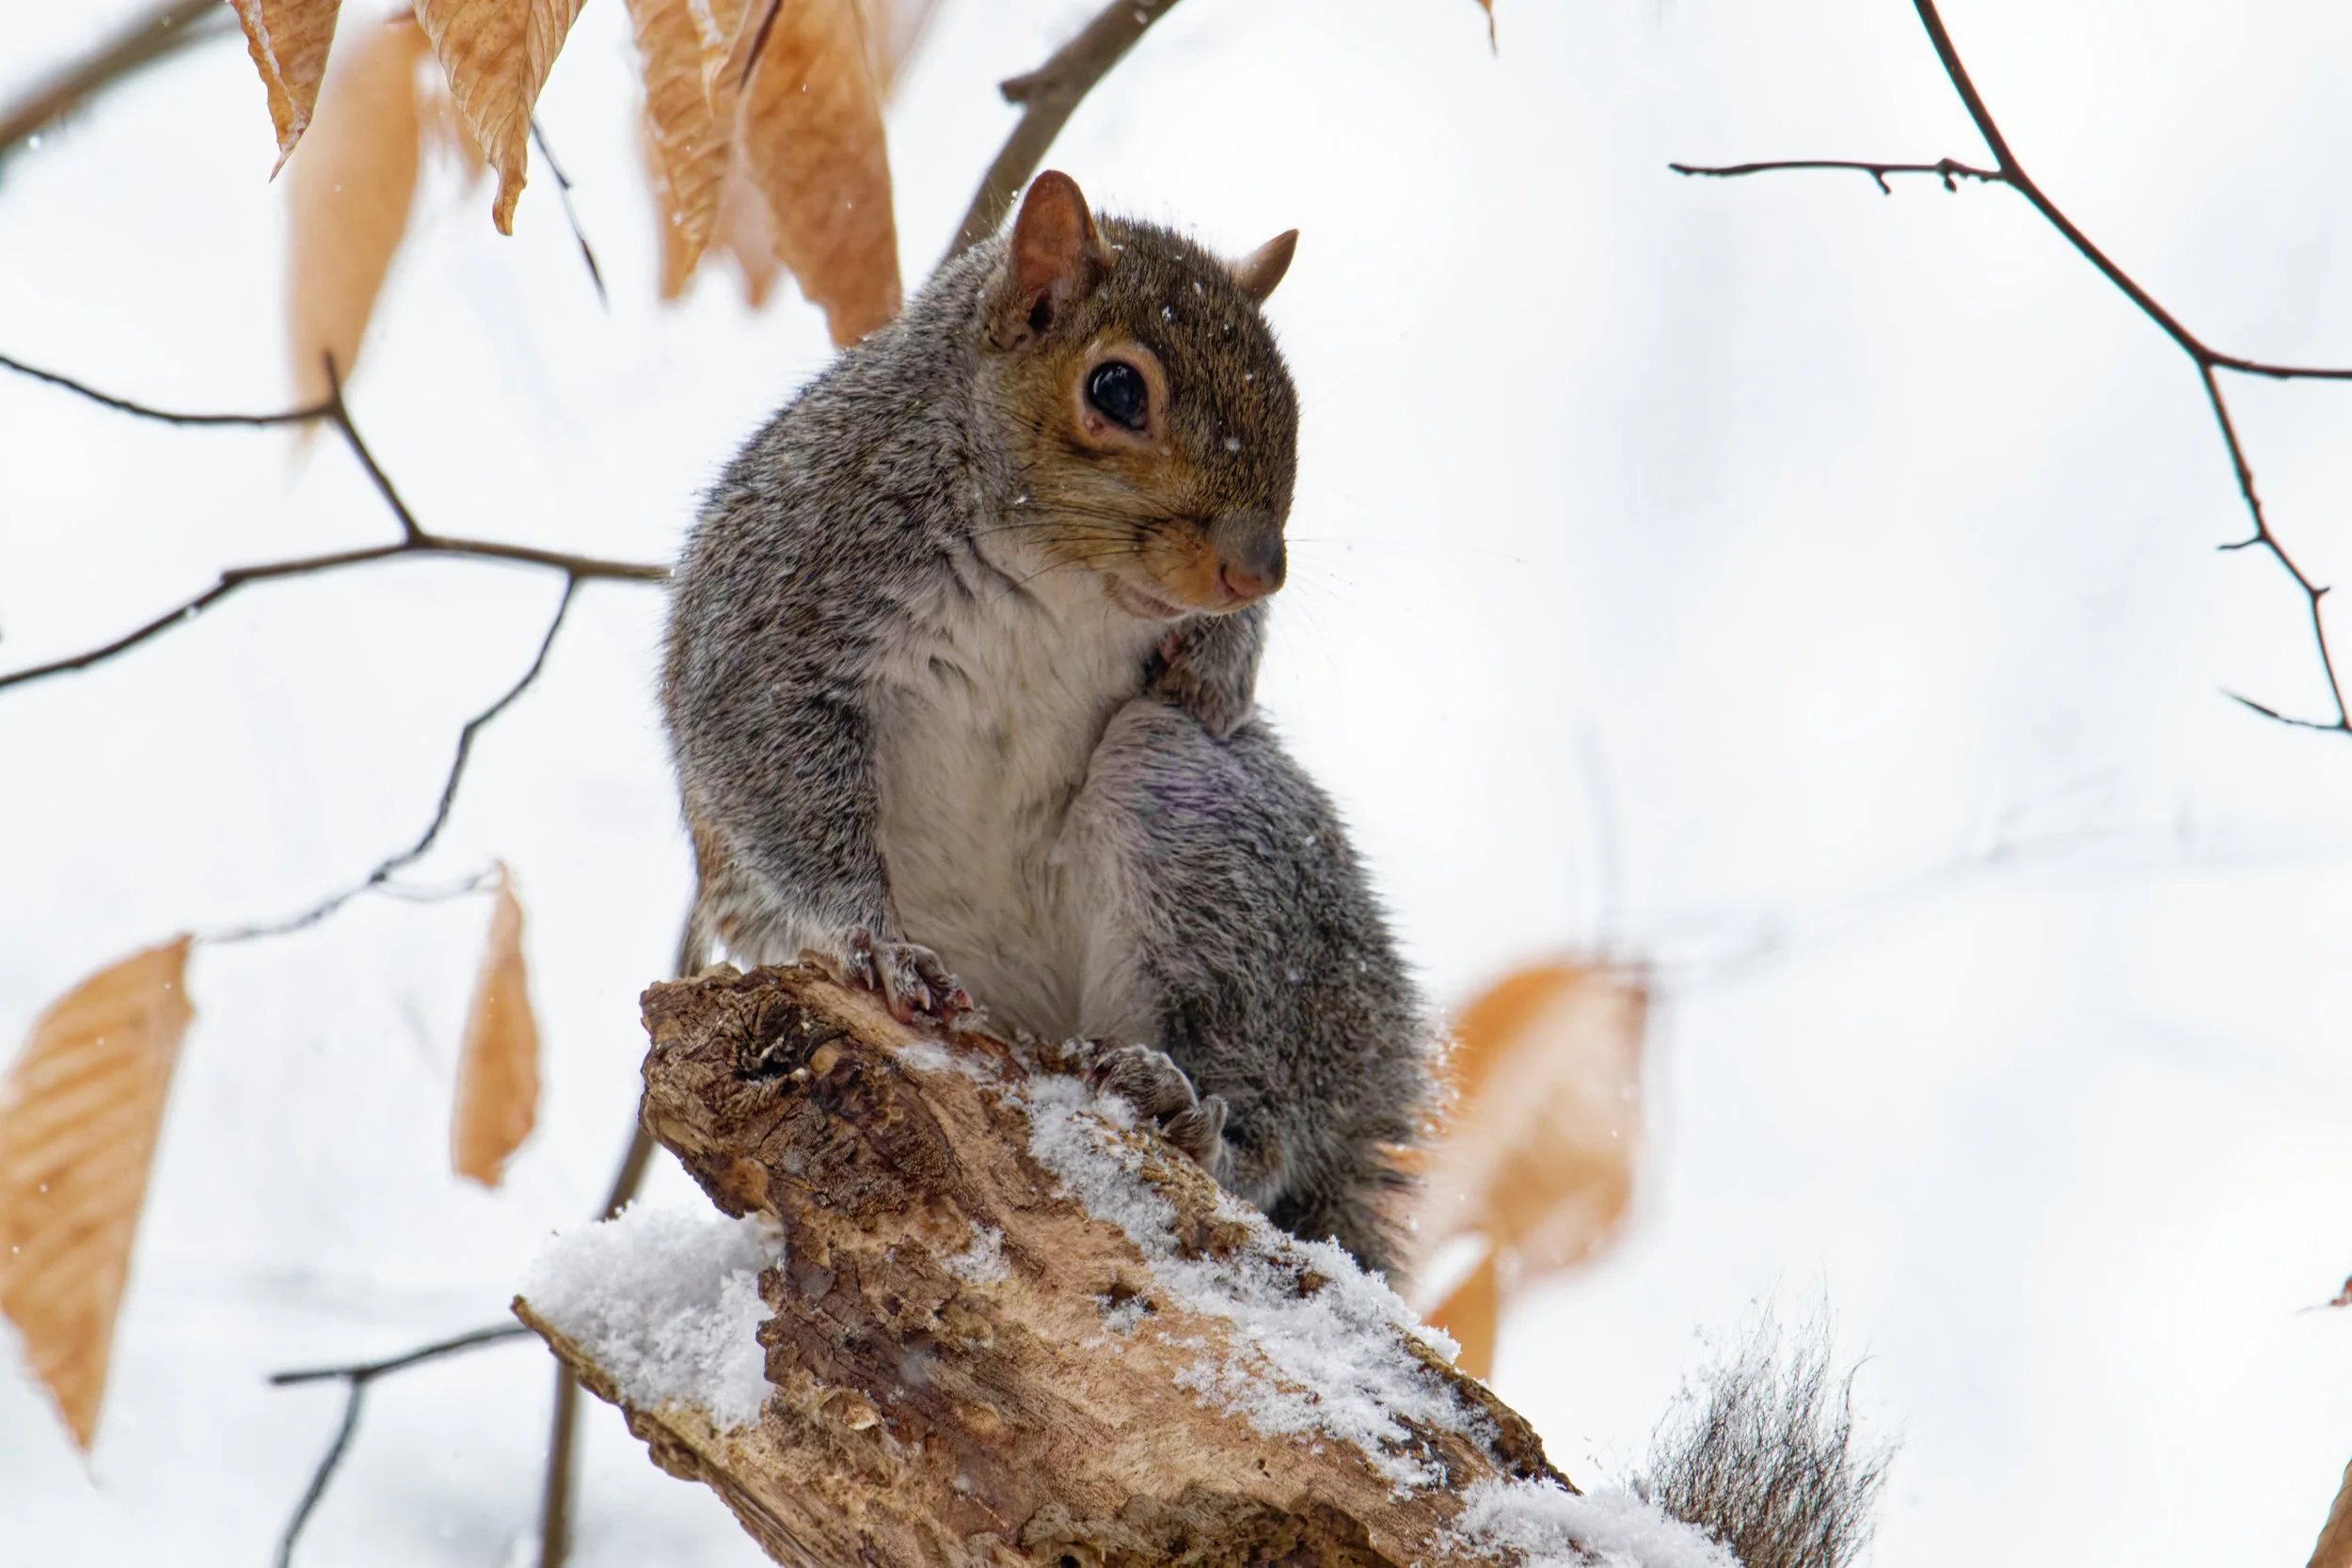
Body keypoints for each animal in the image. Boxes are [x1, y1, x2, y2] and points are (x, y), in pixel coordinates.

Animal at [662, 171, 1427, 1273]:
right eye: (1117, 391)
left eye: (1287, 396)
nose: (1258, 568)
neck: (1054, 569)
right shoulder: (784, 598)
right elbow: (765, 755)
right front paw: (877, 942)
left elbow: (1215, 681)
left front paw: (1217, 666)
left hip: (1198, 822)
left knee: (1267, 1116)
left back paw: (1189, 1110)